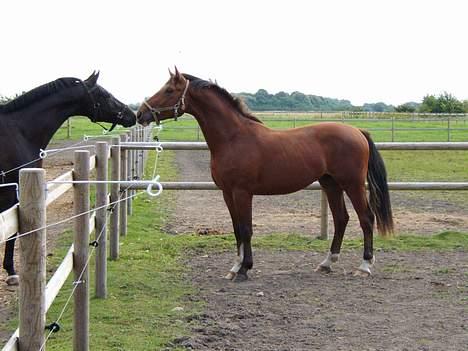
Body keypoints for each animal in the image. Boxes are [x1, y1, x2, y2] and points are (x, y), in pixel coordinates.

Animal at [0, 71, 136, 286]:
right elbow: (12, 234)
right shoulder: (11, 193)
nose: (132, 115)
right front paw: (12, 272)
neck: (19, 132)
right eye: (105, 94)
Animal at [137, 70, 394, 282]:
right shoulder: (227, 193)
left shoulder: (242, 192)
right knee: (342, 219)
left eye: (169, 90)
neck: (234, 138)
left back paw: (364, 266)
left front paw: (244, 269)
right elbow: (236, 229)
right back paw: (326, 263)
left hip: (352, 184)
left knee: (366, 218)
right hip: (330, 184)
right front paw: (235, 267)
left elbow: (246, 229)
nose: (140, 113)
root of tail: (357, 131)